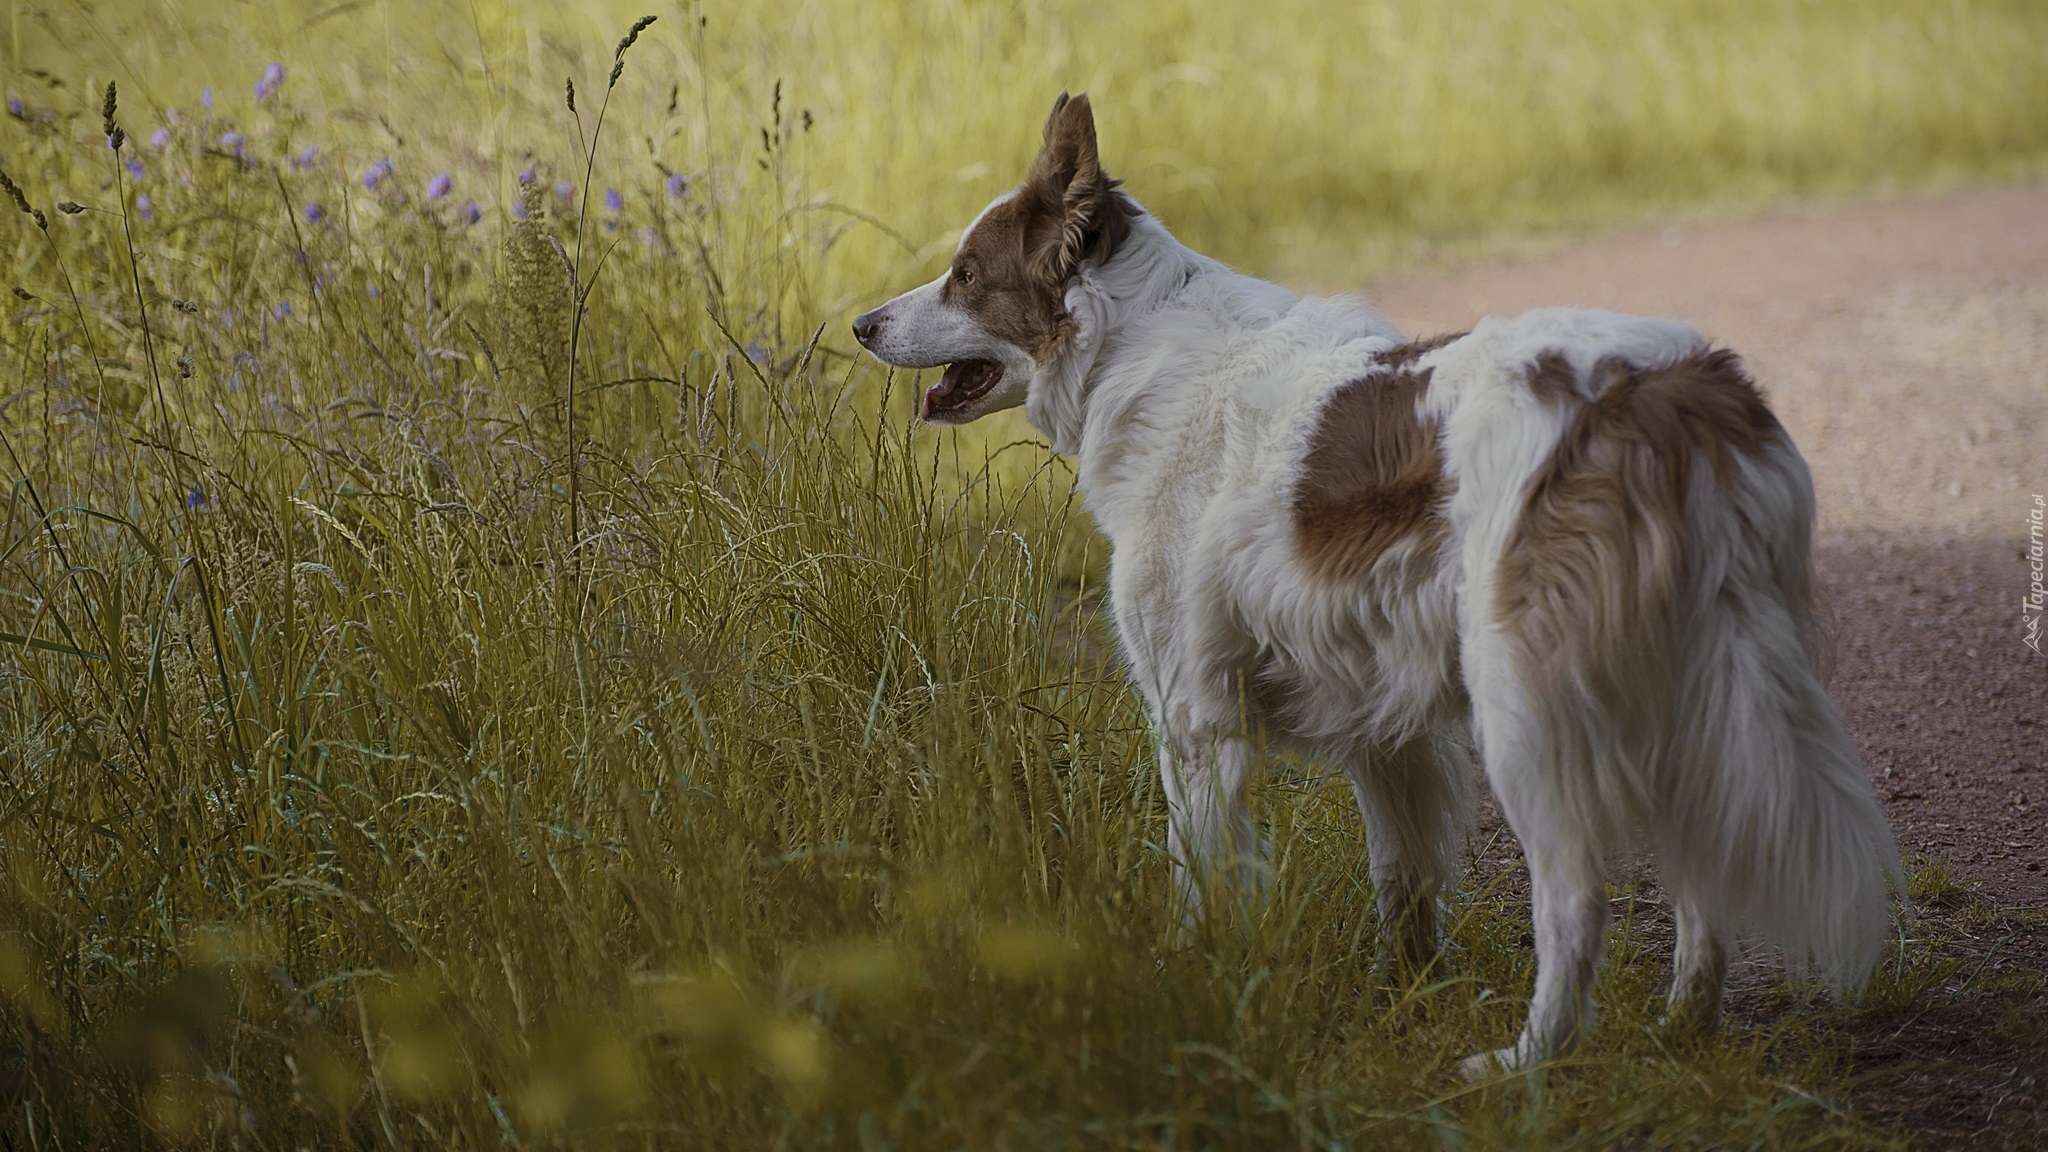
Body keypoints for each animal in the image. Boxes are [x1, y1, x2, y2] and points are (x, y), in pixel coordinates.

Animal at [851, 94, 1900, 1074]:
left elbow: (1202, 872)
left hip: (1523, 708)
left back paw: (1528, 1063)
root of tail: (1668, 388)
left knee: (1576, 901)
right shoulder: (1384, 726)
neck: (1138, 347)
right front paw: (1398, 1002)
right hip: (1689, 687)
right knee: (1698, 873)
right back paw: (1682, 1031)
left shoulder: (1194, 715)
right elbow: (1403, 881)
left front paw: (1190, 981)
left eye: (965, 274)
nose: (861, 322)